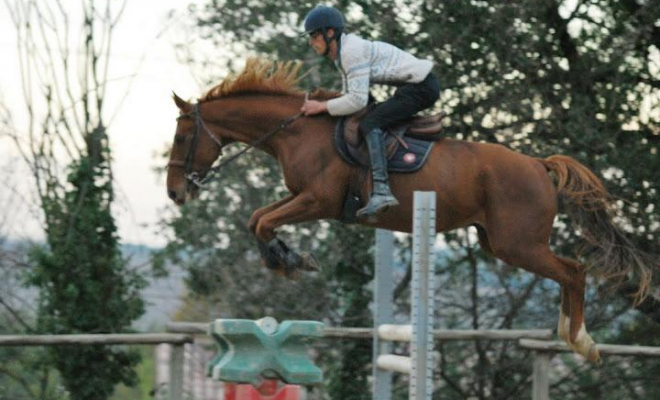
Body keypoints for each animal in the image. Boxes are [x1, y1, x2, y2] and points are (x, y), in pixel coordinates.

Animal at [166, 58, 656, 362]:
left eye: (181, 136)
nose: (174, 192)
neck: (297, 131)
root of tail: (538, 164)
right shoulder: (304, 197)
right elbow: (257, 219)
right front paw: (289, 258)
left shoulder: (318, 200)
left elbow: (264, 220)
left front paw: (289, 261)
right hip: (500, 243)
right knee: (569, 272)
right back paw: (572, 337)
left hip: (519, 244)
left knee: (574, 271)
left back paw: (581, 342)